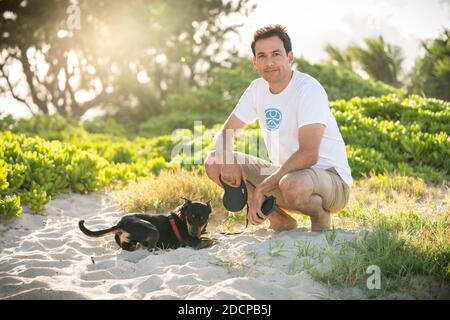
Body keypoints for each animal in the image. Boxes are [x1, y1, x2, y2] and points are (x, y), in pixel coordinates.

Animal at [79, 199, 216, 251]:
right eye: (190, 218)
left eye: (202, 219)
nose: (192, 233)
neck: (182, 219)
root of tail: (120, 224)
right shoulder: (195, 243)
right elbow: (211, 240)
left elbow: (208, 237)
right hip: (152, 229)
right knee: (151, 248)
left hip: (131, 243)